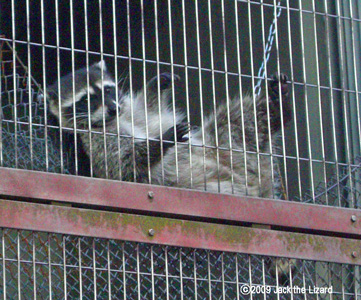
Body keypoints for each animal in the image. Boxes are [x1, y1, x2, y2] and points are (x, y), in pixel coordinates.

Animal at [46, 61, 187, 180]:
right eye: (86, 100)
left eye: (107, 90)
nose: (113, 109)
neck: (114, 120)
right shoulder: (96, 140)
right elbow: (126, 162)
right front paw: (164, 139)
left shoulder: (130, 111)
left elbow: (150, 110)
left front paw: (156, 85)